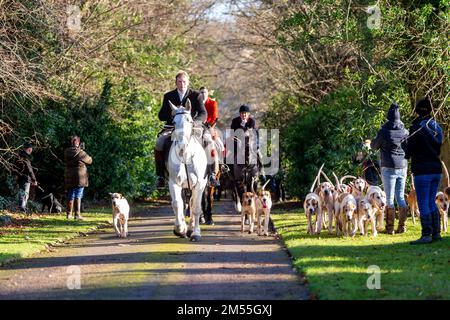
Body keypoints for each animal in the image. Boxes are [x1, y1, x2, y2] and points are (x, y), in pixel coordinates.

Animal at [167, 99, 207, 241]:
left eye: (189, 120)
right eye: (174, 122)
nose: (182, 145)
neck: (185, 156)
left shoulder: (200, 183)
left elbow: (196, 207)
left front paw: (196, 233)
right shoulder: (174, 182)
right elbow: (177, 204)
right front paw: (180, 229)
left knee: (193, 203)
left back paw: (191, 229)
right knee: (184, 203)